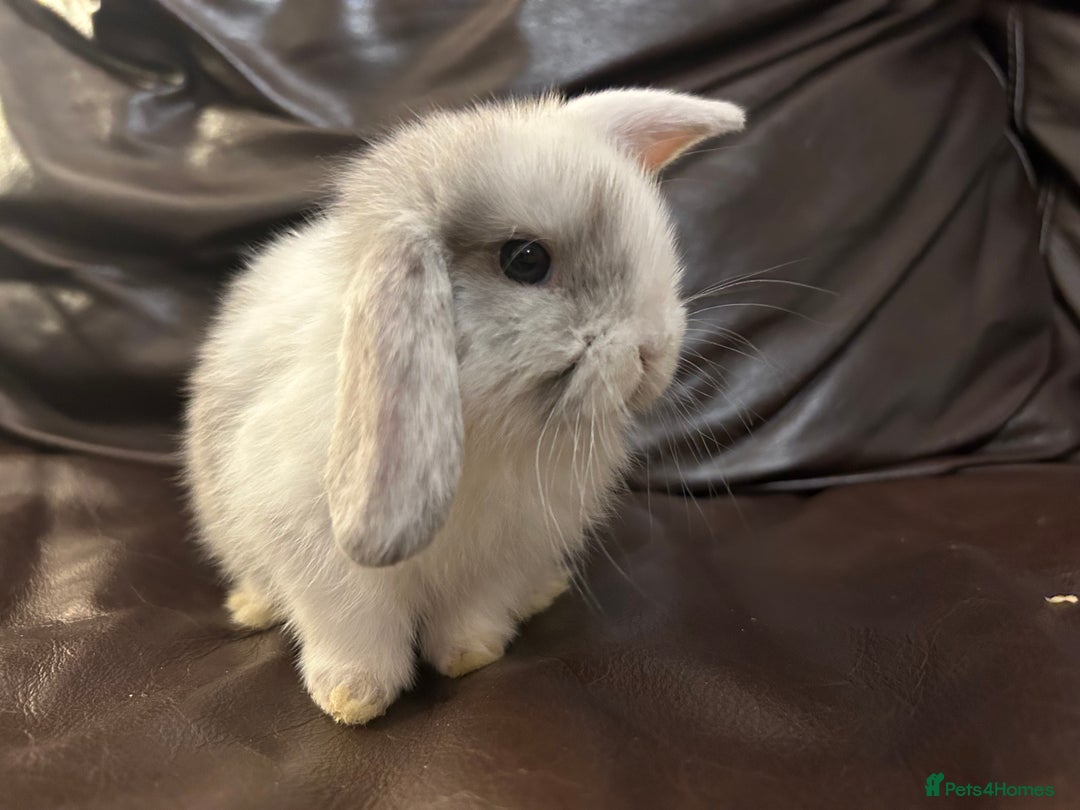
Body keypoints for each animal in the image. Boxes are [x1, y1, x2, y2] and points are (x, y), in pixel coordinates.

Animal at [183, 88, 745, 725]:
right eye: (525, 260)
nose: (655, 351)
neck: (484, 426)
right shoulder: (325, 563)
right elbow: (356, 632)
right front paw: (353, 699)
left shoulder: (502, 553)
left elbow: (472, 611)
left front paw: (472, 655)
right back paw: (250, 607)